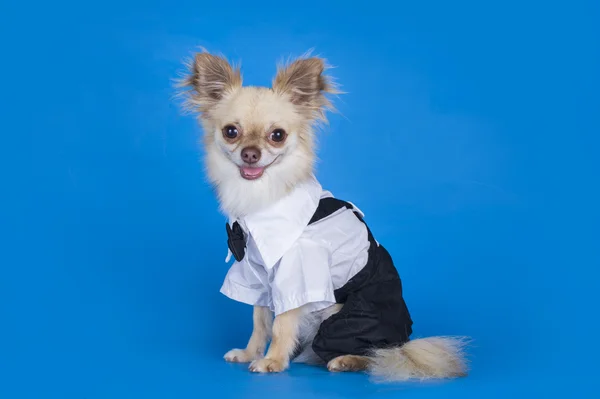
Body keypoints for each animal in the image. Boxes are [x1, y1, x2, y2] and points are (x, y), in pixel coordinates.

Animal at [178, 51, 468, 382]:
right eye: (231, 132)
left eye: (277, 135)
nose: (250, 153)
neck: (263, 196)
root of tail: (404, 340)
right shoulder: (255, 273)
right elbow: (260, 321)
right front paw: (250, 352)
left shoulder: (297, 275)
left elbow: (281, 324)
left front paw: (272, 361)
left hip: (345, 321)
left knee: (379, 354)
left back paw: (347, 360)